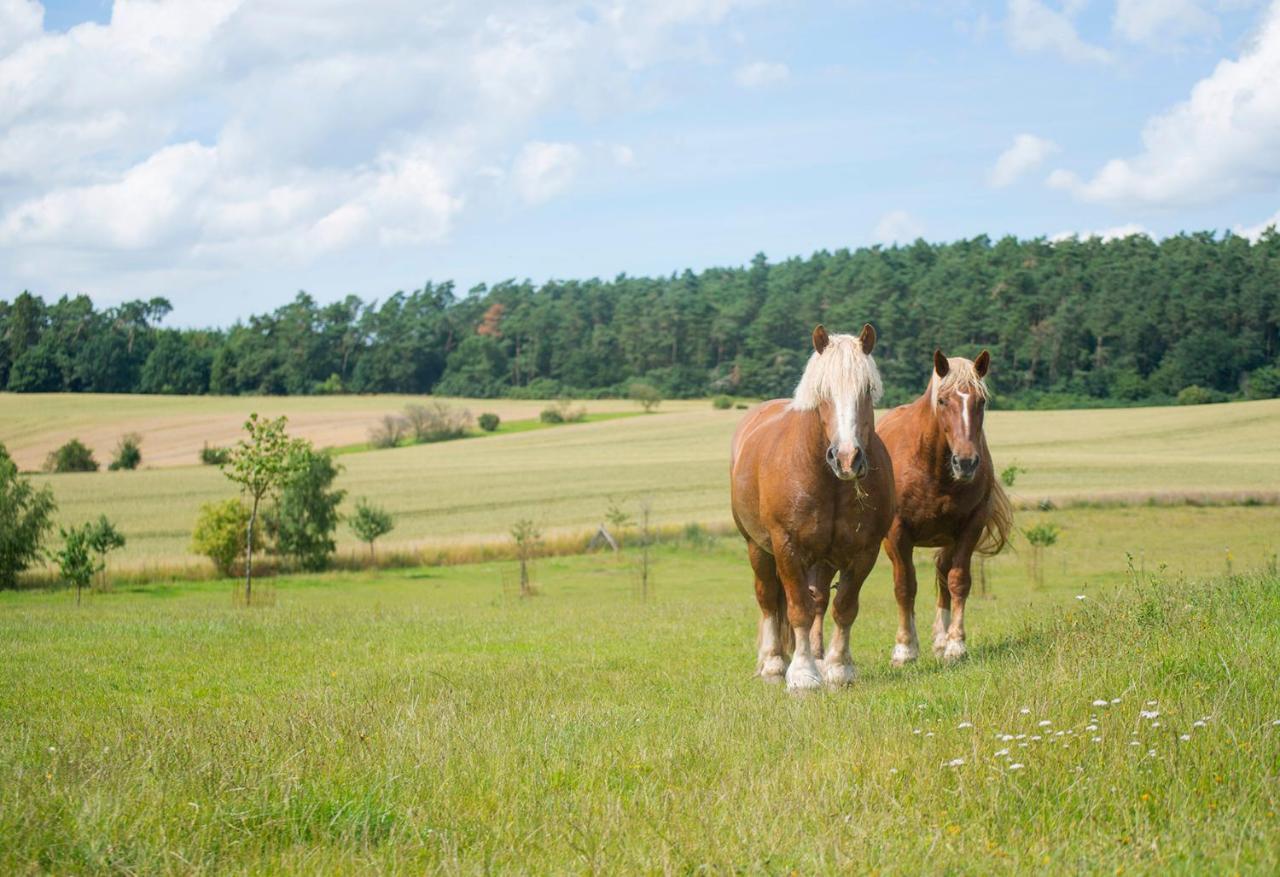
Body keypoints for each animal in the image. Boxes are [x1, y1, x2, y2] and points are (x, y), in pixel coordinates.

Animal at [737, 325, 896, 686]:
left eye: (867, 390)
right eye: (824, 391)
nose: (847, 458)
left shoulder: (864, 551)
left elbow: (844, 607)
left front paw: (838, 668)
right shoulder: (786, 547)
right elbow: (797, 609)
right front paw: (803, 674)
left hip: (822, 560)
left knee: (819, 601)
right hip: (757, 547)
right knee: (769, 599)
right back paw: (773, 664)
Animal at [880, 348, 1008, 665]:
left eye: (981, 401)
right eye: (942, 400)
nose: (966, 462)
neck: (933, 467)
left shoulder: (971, 525)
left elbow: (958, 580)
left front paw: (955, 644)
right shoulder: (897, 531)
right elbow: (905, 586)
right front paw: (904, 649)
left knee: (942, 572)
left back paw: (940, 638)